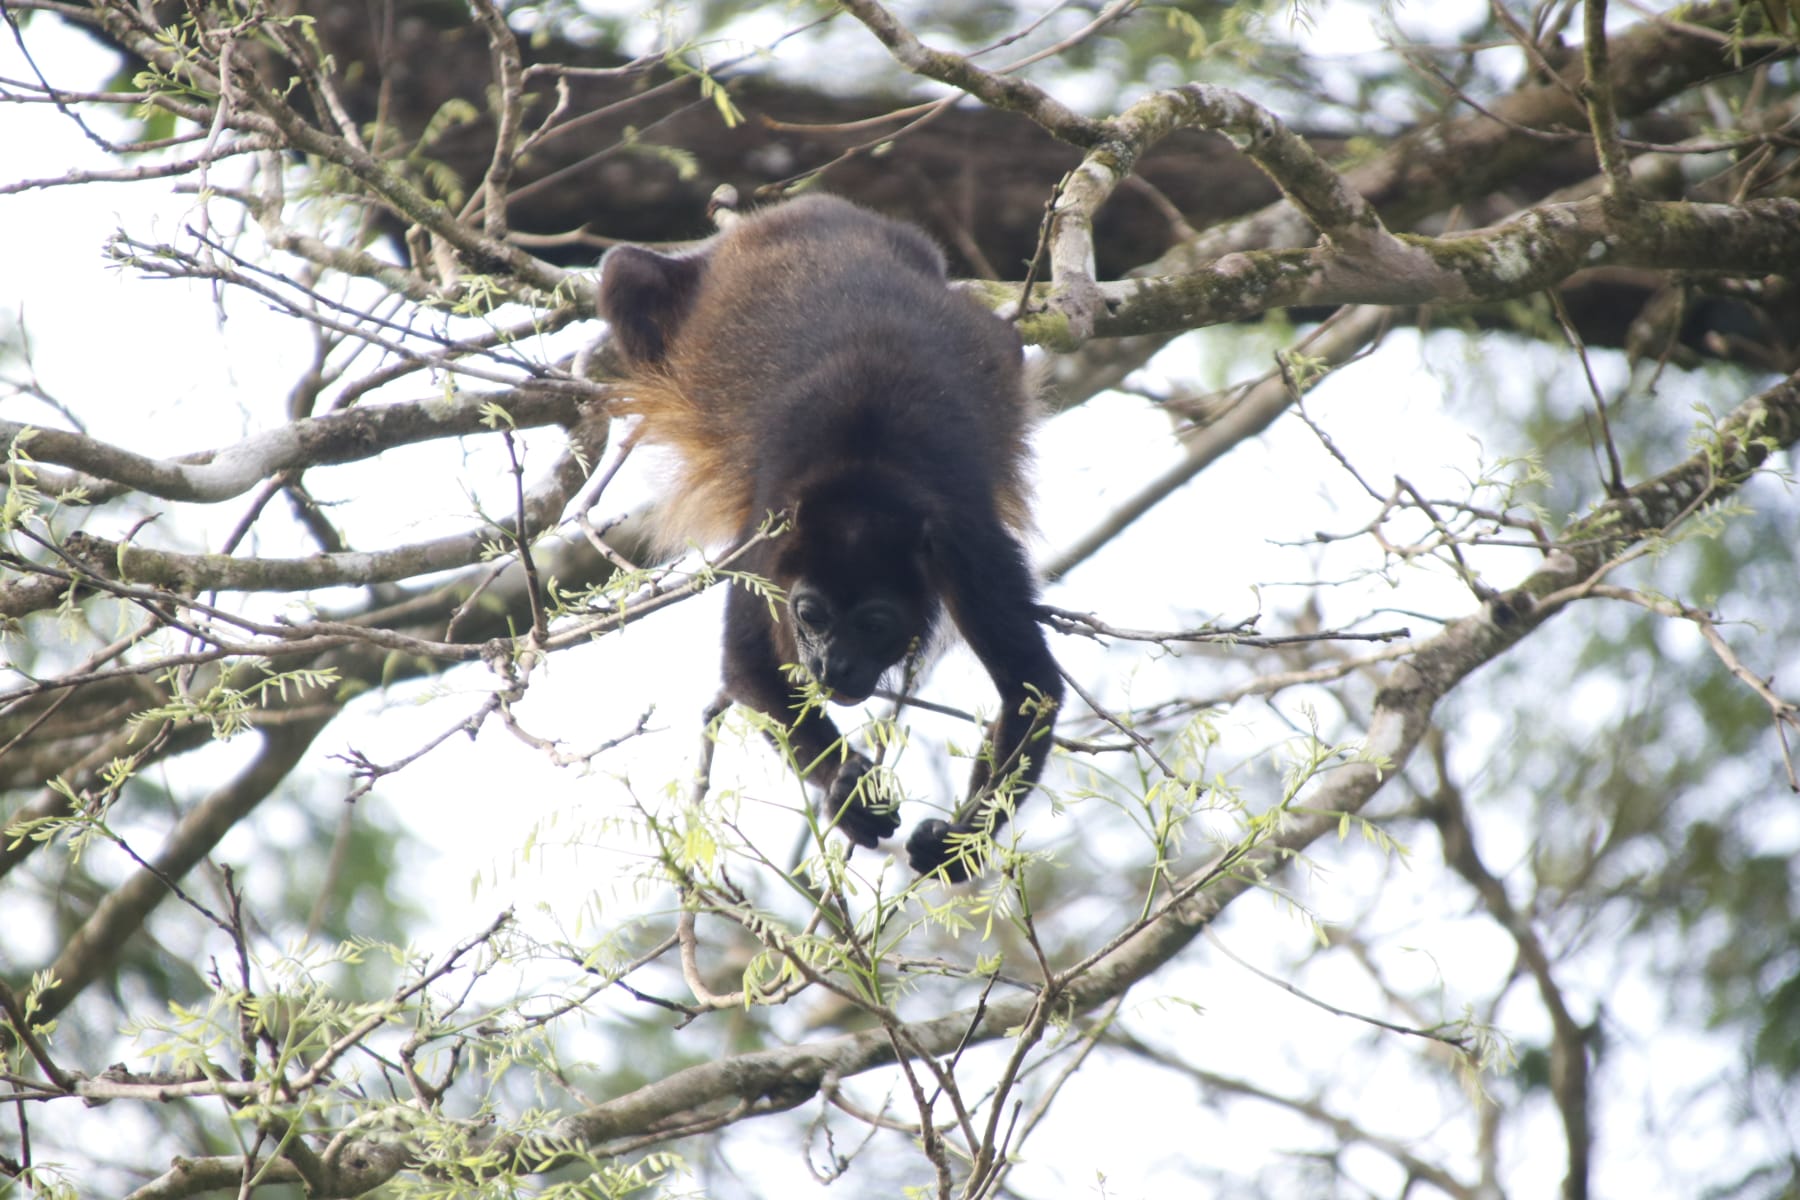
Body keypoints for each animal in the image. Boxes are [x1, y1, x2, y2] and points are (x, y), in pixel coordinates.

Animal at [597, 194, 1061, 880]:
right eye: (811, 615)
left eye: (873, 624)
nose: (829, 664)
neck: (861, 489)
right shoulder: (766, 537)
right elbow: (749, 662)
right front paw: (847, 792)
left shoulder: (969, 547)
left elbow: (1031, 688)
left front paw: (958, 842)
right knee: (623, 272)